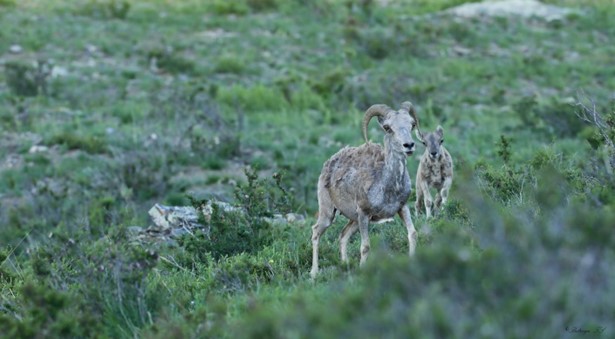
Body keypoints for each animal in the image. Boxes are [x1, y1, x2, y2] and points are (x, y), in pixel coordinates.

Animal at [310, 101, 422, 278]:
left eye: (411, 124)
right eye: (388, 128)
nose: (409, 145)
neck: (388, 186)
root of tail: (330, 163)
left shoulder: (402, 208)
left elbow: (413, 234)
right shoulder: (364, 214)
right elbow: (365, 247)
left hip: (353, 220)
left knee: (343, 236)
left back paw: (345, 265)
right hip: (328, 213)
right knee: (316, 233)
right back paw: (314, 273)